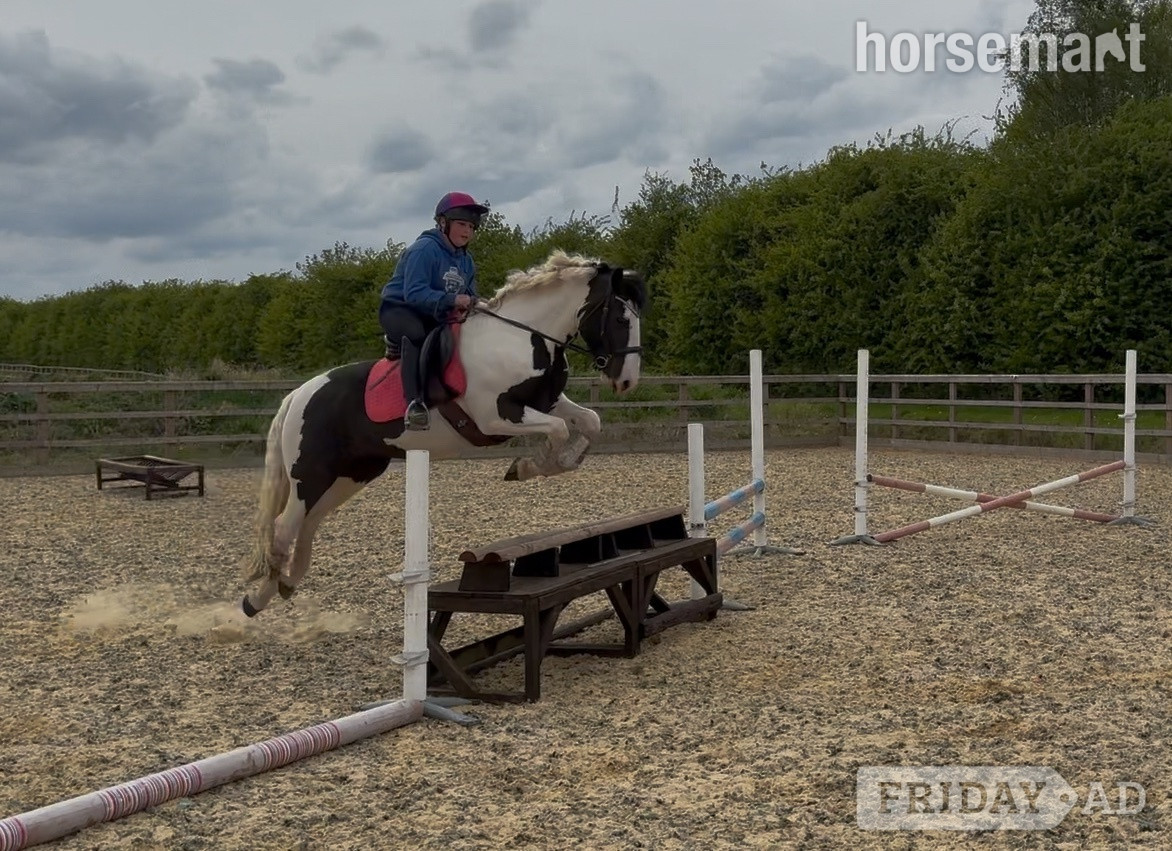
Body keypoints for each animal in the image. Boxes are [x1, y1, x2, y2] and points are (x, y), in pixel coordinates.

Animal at [239, 250, 646, 616]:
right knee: (283, 528)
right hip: (311, 474)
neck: (521, 338)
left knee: (306, 525)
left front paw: (548, 463)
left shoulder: (547, 402)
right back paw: (256, 600)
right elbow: (559, 430)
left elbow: (589, 421)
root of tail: (298, 394)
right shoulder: (497, 417)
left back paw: (283, 585)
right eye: (620, 318)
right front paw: (530, 465)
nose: (627, 382)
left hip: (350, 475)